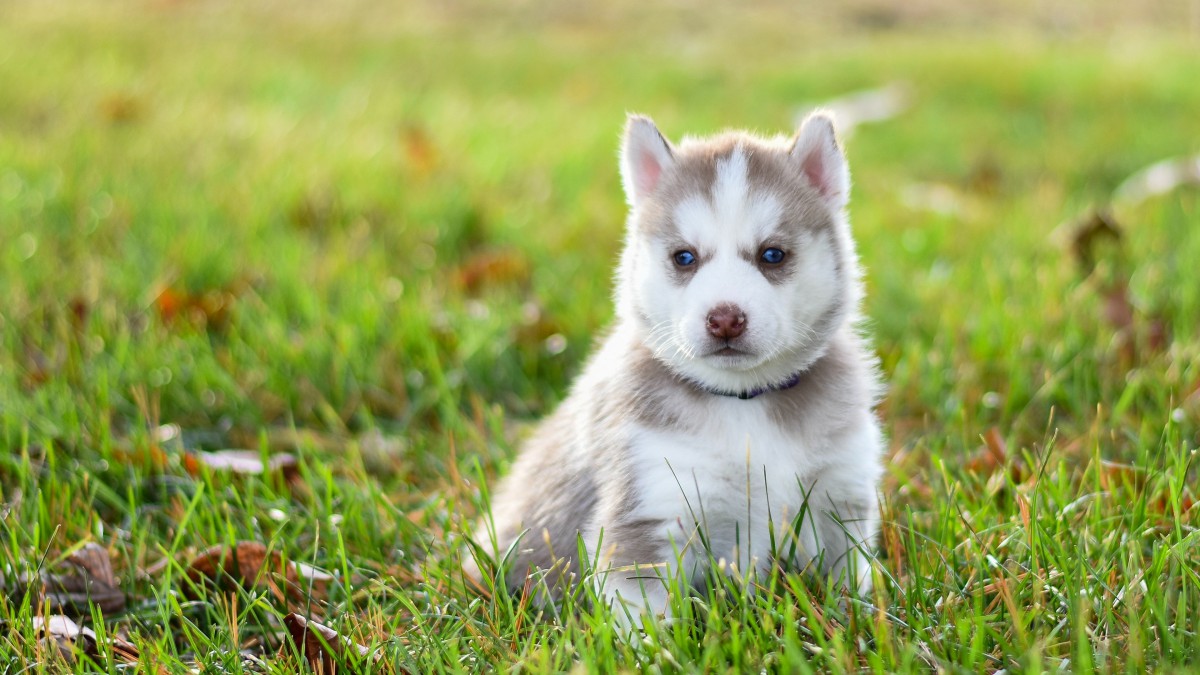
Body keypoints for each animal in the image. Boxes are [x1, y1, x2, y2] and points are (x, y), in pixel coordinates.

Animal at [472, 110, 888, 619]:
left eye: (772, 254)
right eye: (684, 257)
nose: (725, 318)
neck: (744, 403)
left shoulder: (838, 495)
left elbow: (847, 585)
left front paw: (858, 622)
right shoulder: (650, 509)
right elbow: (646, 620)